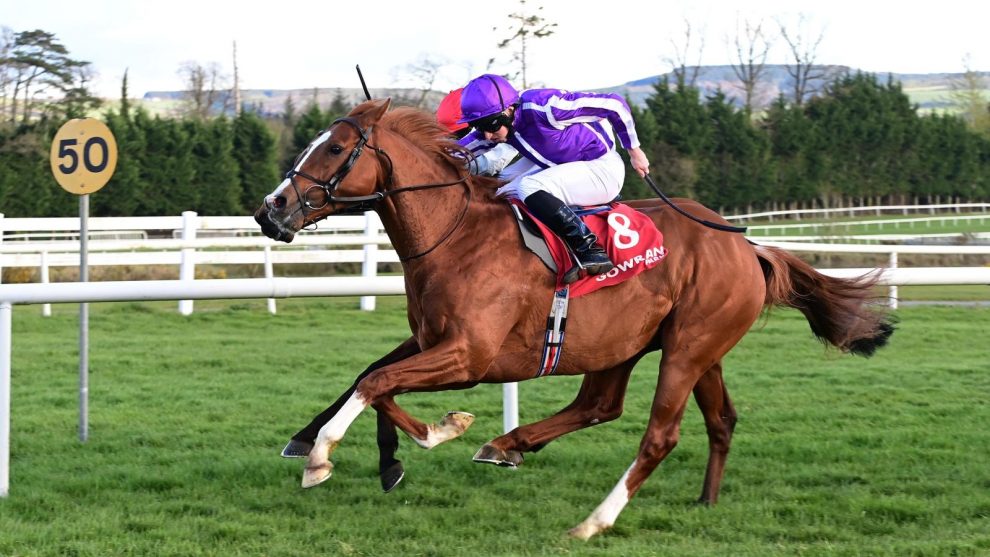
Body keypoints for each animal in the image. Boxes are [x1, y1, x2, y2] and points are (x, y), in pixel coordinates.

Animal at [252, 100, 896, 540]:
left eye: (336, 149)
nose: (270, 209)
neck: (454, 234)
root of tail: (747, 246)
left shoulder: (470, 355)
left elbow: (376, 383)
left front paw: (331, 455)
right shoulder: (430, 338)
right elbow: (370, 377)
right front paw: (381, 448)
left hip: (687, 348)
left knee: (659, 434)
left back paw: (593, 520)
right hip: (652, 345)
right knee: (664, 413)